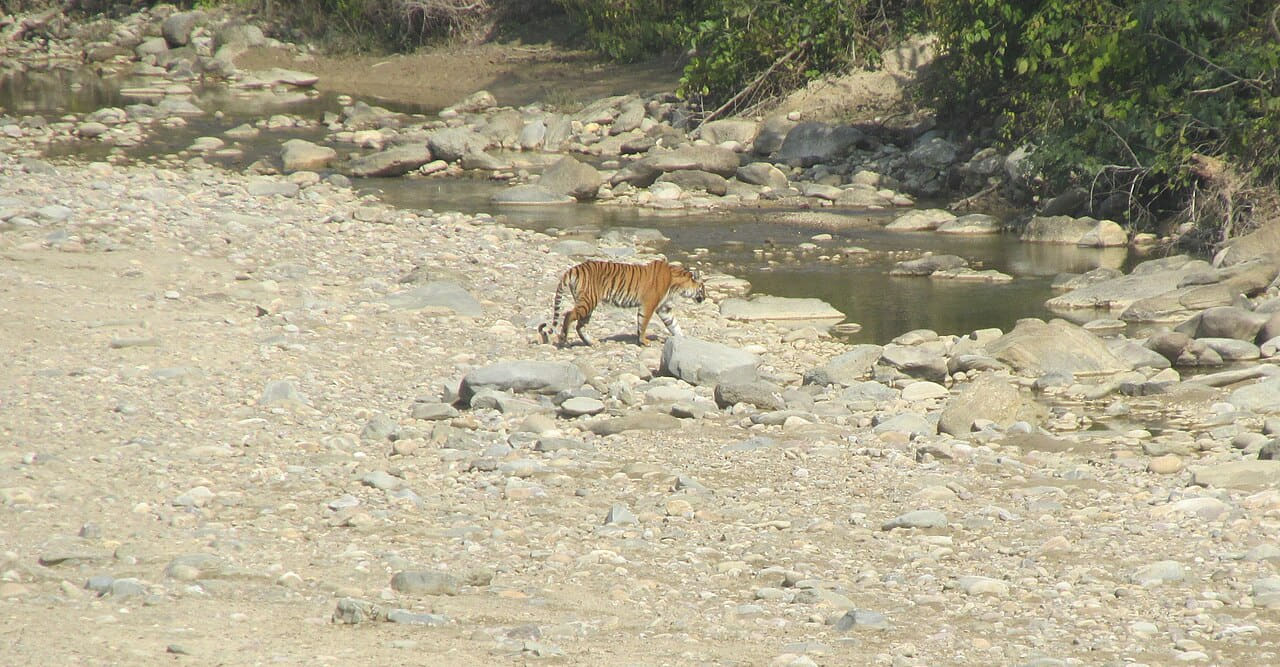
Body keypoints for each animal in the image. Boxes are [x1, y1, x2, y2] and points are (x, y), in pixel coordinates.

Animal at [537, 259, 707, 347]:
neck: (676, 284)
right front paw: (644, 341)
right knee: (569, 314)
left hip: (587, 304)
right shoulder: (649, 304)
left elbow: (674, 325)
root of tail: (574, 268)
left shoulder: (664, 308)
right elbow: (643, 324)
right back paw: (563, 339)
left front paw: (683, 339)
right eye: (703, 288)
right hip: (588, 302)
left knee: (580, 325)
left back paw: (592, 342)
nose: (705, 298)